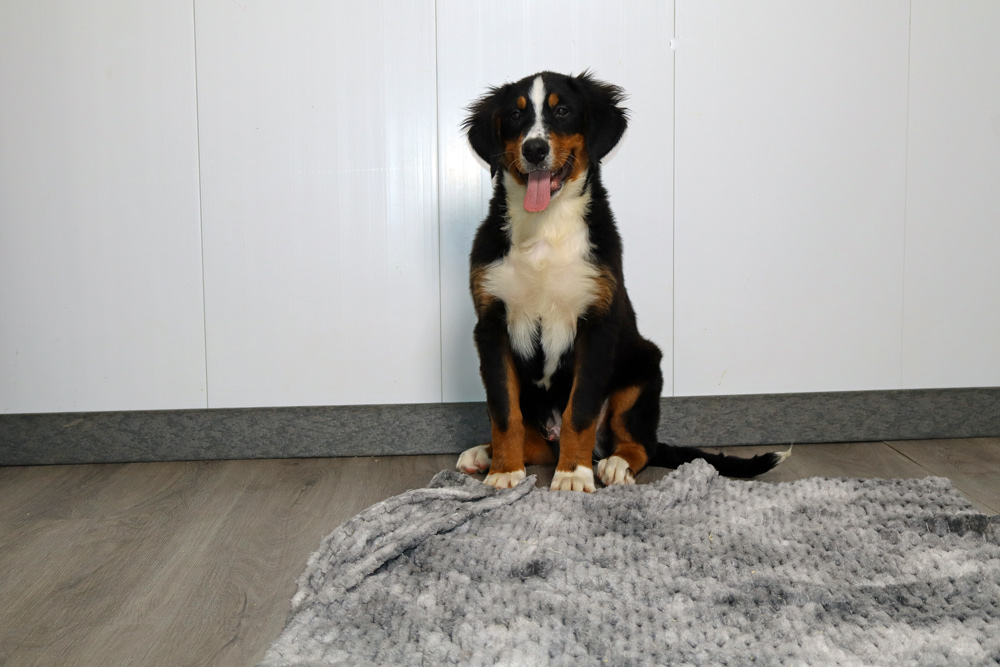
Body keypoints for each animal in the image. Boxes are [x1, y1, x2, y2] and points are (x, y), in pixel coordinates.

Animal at [456, 71, 788, 491]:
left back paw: (614, 464)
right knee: (540, 442)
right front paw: (504, 470)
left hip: (643, 372)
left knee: (638, 442)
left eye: (562, 111)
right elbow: (503, 409)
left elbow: (579, 410)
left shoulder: (597, 325)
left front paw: (572, 474)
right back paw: (483, 455)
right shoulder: (492, 324)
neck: (546, 227)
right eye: (515, 116)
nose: (534, 149)